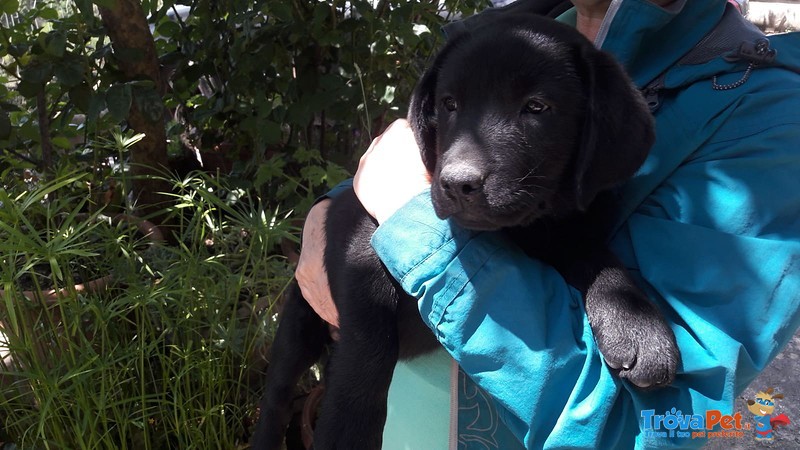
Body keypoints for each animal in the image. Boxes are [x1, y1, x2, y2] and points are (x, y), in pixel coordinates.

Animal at [253, 12, 680, 448]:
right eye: (449, 104)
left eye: (537, 107)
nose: (458, 184)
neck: (521, 229)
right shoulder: (361, 244)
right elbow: (368, 347)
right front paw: (346, 432)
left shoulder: (565, 233)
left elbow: (600, 261)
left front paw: (638, 328)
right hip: (298, 321)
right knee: (278, 395)